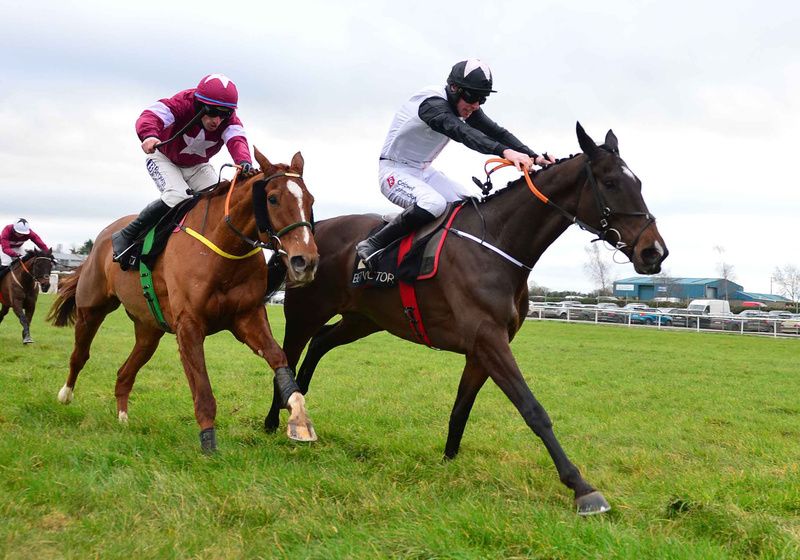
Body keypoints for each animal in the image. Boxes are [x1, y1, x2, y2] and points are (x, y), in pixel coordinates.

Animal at [47, 150, 318, 456]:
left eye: (310, 200)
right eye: (272, 198)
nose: (305, 261)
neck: (224, 248)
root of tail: (102, 238)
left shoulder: (247, 316)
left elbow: (278, 357)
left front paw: (300, 418)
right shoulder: (189, 325)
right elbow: (203, 389)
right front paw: (209, 443)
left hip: (148, 330)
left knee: (125, 372)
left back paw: (123, 418)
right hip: (91, 308)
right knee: (80, 354)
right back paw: (65, 395)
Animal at [268, 124, 668, 516]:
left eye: (639, 183)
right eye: (611, 182)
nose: (655, 252)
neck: (498, 244)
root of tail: (307, 234)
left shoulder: (480, 349)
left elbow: (461, 409)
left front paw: (448, 462)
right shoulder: (489, 340)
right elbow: (533, 409)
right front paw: (582, 487)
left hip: (364, 318)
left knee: (320, 342)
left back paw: (302, 404)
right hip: (306, 311)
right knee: (286, 356)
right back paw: (275, 421)